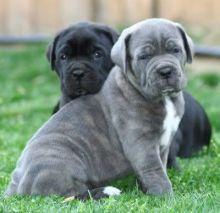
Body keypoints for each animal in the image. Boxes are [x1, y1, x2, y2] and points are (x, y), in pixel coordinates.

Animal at [5, 19, 192, 199]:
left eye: (176, 50)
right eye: (144, 56)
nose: (165, 71)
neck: (164, 98)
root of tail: (15, 183)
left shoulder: (163, 146)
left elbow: (160, 167)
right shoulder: (141, 143)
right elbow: (154, 170)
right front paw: (166, 197)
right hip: (61, 158)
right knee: (68, 195)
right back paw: (107, 191)